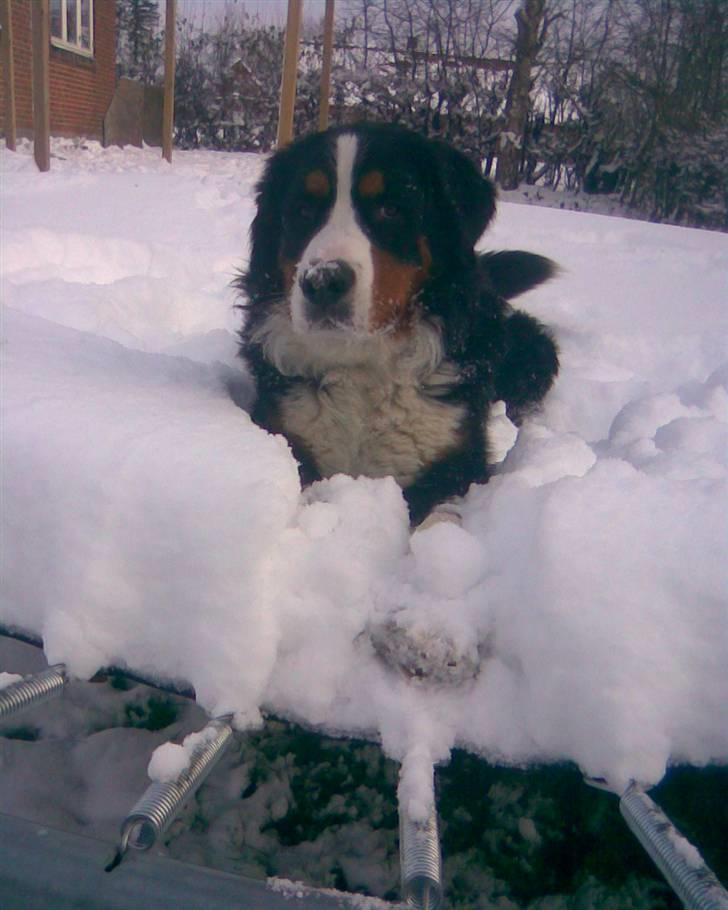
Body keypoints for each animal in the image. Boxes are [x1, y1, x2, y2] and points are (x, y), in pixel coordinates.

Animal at [236, 124, 560, 524]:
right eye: (303, 209)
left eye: (390, 209)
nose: (322, 281)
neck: (362, 364)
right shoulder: (287, 436)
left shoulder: (454, 463)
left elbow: (441, 520)